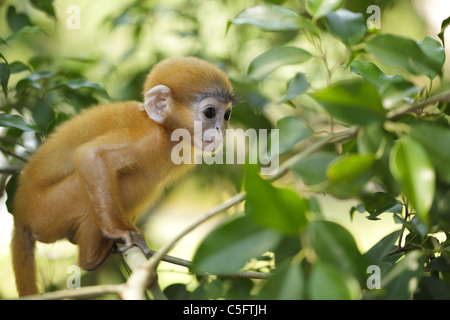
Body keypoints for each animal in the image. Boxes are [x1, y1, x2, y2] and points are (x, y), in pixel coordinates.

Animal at [10, 56, 236, 296]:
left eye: (227, 115)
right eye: (209, 112)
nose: (221, 129)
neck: (165, 131)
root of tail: (20, 212)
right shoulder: (149, 137)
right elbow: (91, 155)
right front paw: (119, 231)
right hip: (46, 211)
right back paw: (92, 257)